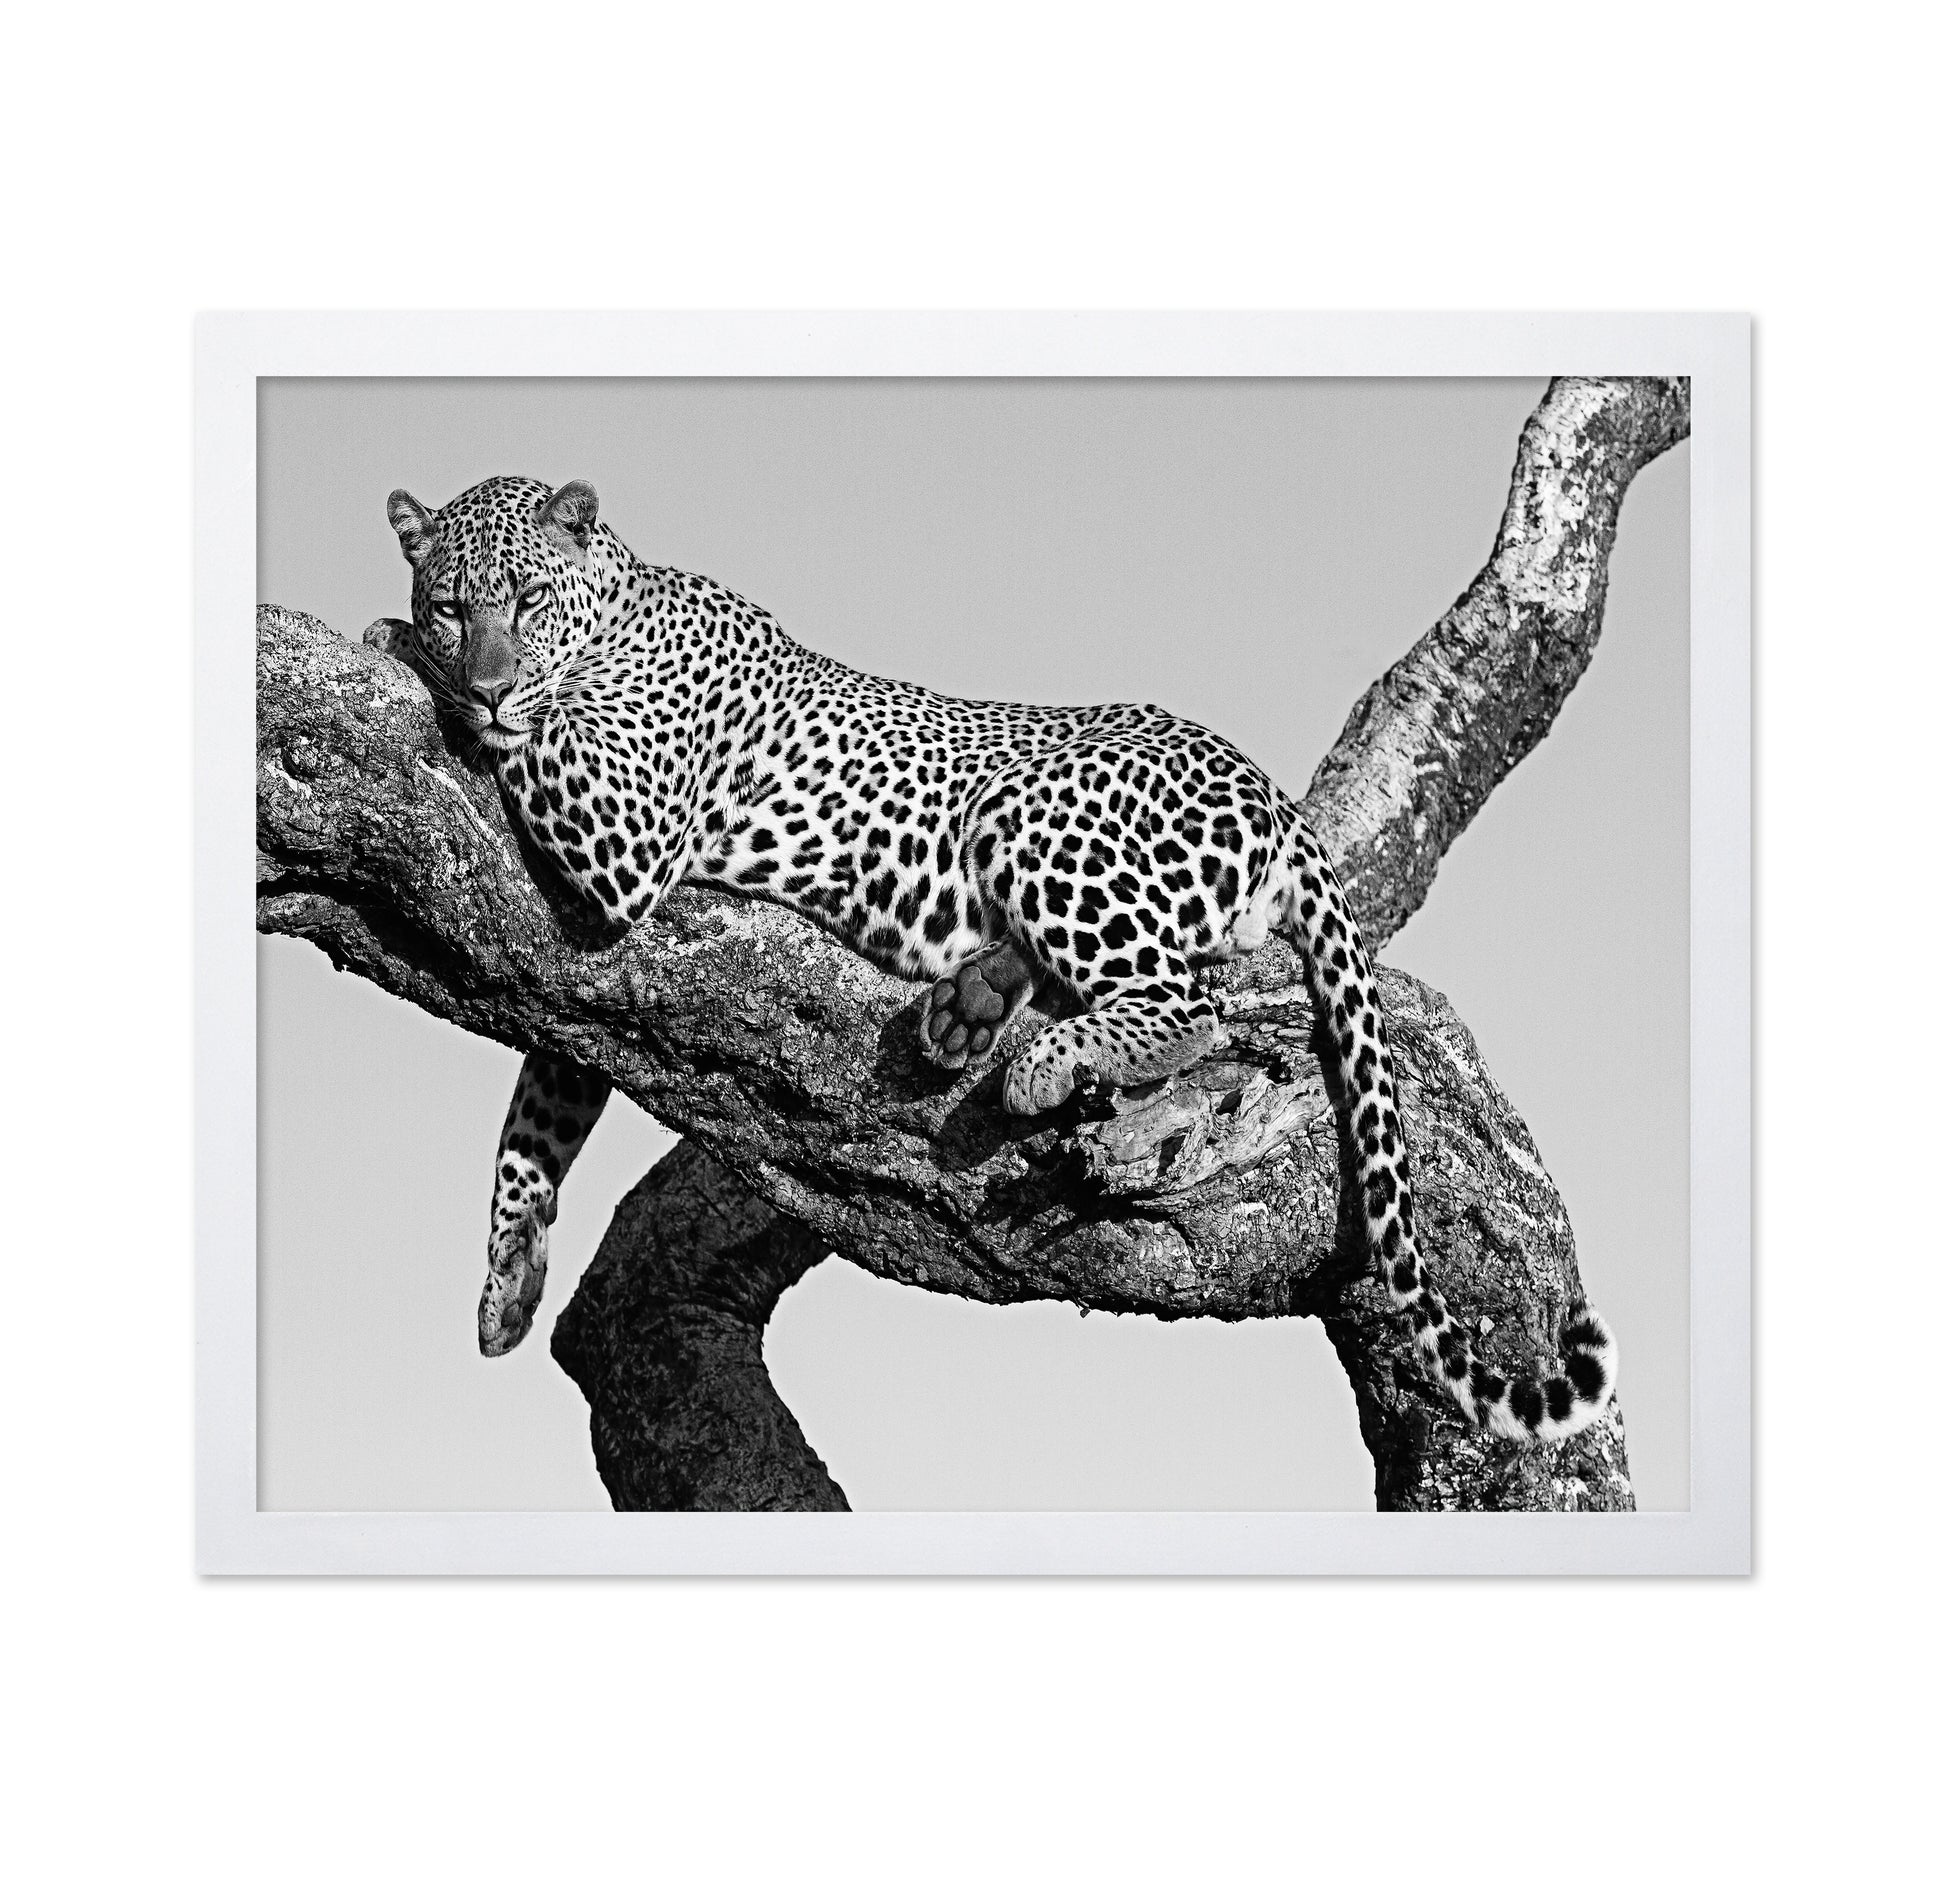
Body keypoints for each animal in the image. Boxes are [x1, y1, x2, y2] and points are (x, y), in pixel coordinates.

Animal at [368, 473, 1617, 1445]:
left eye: (525, 602)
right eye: (453, 605)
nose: (483, 680)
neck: (620, 606)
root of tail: (1270, 793)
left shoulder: (623, 832)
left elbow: (540, 746)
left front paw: (401, 653)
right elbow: (541, 1106)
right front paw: (507, 1278)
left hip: (1035, 808)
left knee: (1191, 1001)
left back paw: (1039, 1058)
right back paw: (970, 1003)